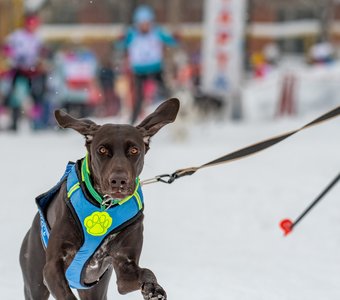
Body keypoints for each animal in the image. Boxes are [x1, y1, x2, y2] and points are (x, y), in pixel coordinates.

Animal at [19, 99, 181, 300]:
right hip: (35, 281)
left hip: (94, 288)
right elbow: (66, 294)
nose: (118, 180)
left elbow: (146, 271)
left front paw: (153, 289)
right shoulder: (51, 268)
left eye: (134, 150)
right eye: (102, 150)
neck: (104, 205)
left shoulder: (124, 270)